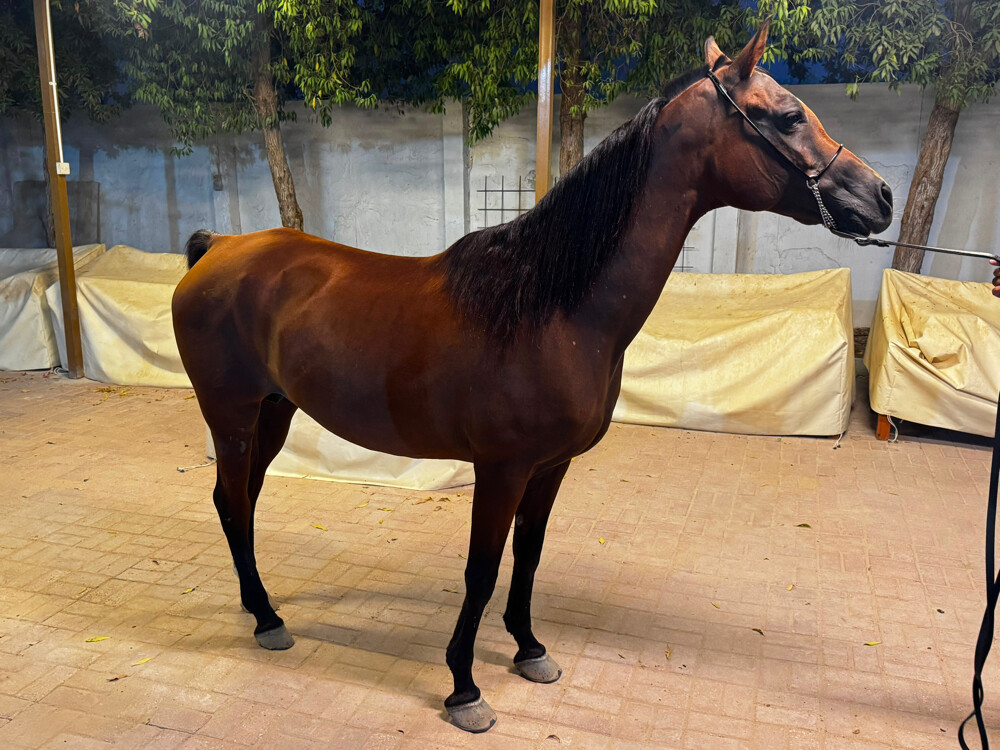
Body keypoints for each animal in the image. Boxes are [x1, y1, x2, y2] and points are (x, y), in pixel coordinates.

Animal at [172, 22, 893, 733]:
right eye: (789, 116)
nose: (880, 196)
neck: (551, 307)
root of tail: (217, 249)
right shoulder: (501, 469)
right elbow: (482, 570)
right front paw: (464, 687)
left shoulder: (551, 466)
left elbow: (529, 556)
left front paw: (529, 649)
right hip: (231, 415)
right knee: (233, 500)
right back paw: (268, 619)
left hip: (273, 409)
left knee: (240, 500)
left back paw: (258, 608)